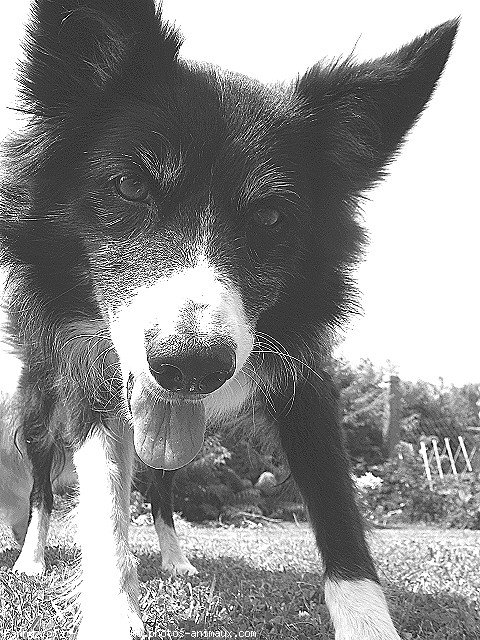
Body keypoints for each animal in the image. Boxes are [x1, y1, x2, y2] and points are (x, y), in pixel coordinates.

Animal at [0, 2, 458, 636]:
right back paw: (33, 558)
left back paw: (175, 560)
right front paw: (113, 612)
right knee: (44, 485)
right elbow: (103, 502)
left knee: (161, 486)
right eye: (130, 185)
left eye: (270, 215)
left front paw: (368, 622)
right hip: (40, 402)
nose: (191, 366)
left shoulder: (303, 370)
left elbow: (337, 503)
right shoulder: (86, 372)